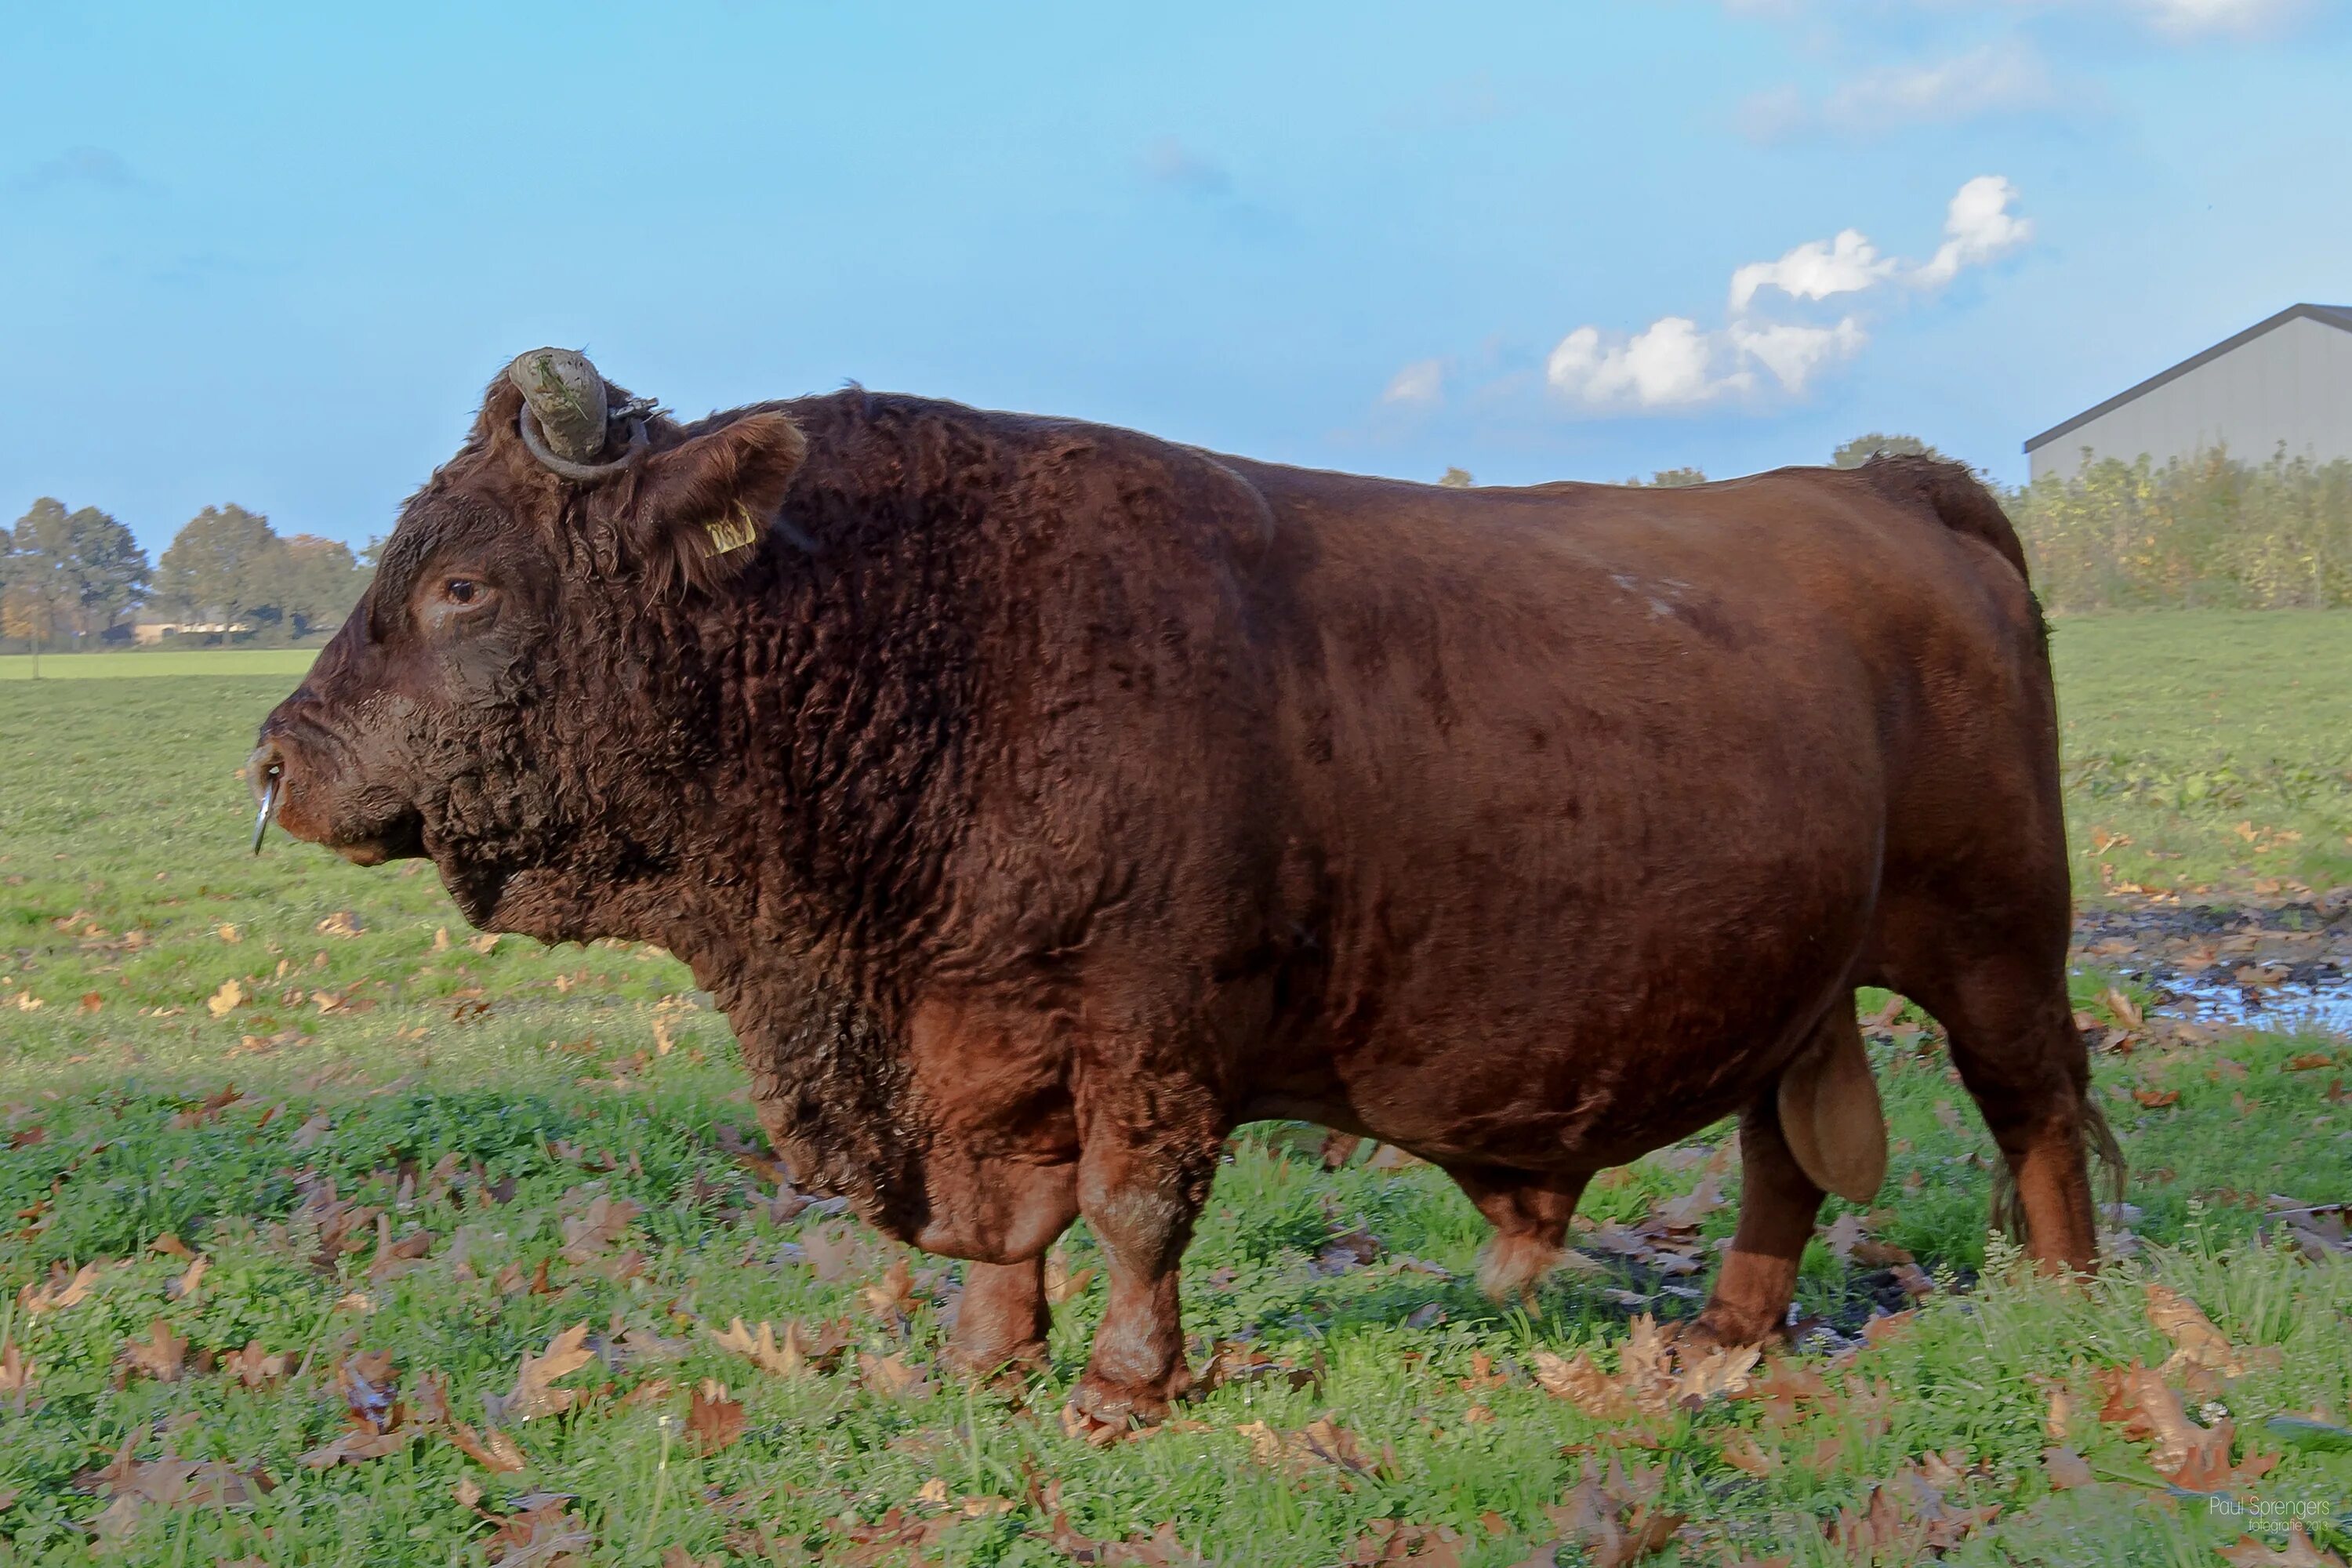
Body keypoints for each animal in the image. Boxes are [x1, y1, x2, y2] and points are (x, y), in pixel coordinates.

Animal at [257, 352, 2117, 1439]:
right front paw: (991, 1360)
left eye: (465, 584)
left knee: (2033, 1107)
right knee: (1779, 1162)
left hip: (1997, 946)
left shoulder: (1148, 1030)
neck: (916, 626)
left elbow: (1136, 1207)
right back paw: (1724, 1339)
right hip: (1793, 980)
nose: (275, 760)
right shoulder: (976, 1037)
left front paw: (1121, 1385)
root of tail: (1891, 488)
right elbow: (1012, 1224)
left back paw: (2069, 1302)